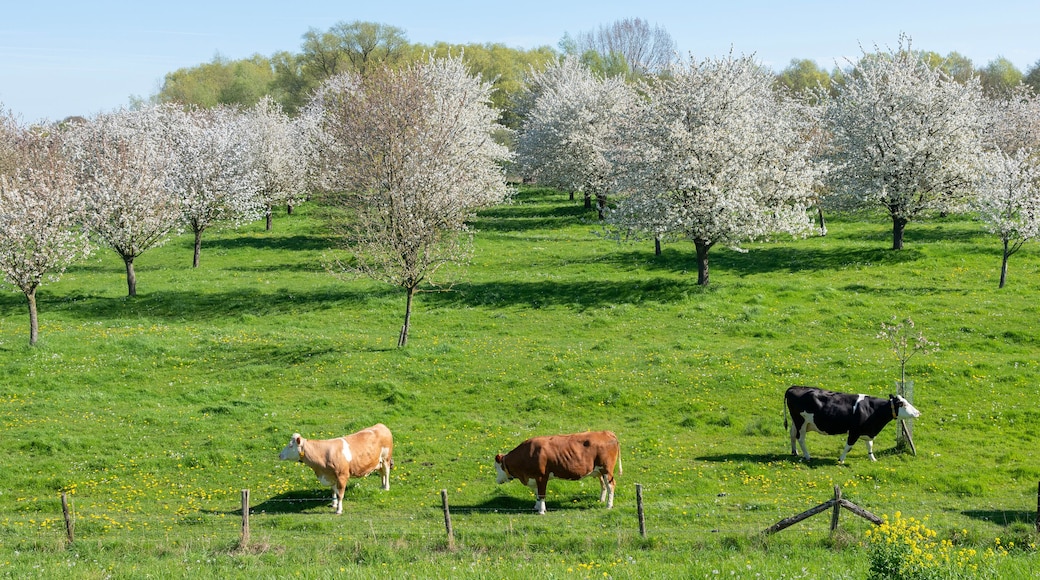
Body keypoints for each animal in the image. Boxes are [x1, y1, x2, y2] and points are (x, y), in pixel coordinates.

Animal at [785, 385, 921, 463]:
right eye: (902, 404)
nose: (918, 413)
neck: (872, 410)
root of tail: (794, 387)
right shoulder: (854, 431)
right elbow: (848, 446)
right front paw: (841, 460)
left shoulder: (868, 431)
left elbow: (870, 445)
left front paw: (873, 459)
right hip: (801, 422)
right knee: (800, 438)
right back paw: (807, 456)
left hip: (797, 422)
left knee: (792, 434)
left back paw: (794, 452)